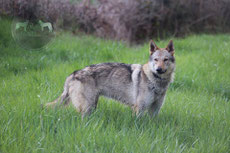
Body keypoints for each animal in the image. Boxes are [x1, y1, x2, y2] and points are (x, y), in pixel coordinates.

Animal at [46, 39, 176, 118]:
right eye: (156, 60)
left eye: (165, 60)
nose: (158, 69)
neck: (156, 81)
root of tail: (73, 74)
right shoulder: (138, 109)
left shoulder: (155, 110)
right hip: (87, 108)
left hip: (92, 105)